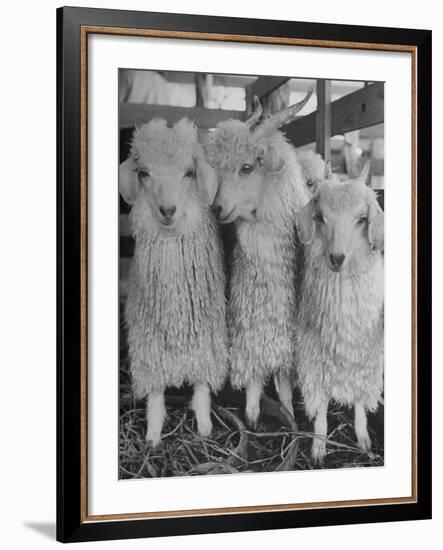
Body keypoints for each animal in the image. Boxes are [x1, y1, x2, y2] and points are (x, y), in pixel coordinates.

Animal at [119, 119, 227, 448]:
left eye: (189, 172)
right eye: (144, 173)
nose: (167, 210)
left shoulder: (207, 339)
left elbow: (202, 385)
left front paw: (204, 427)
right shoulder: (148, 344)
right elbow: (155, 391)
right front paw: (153, 435)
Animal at [206, 90, 312, 426]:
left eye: (247, 167)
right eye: (218, 167)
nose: (217, 208)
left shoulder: (286, 337)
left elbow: (284, 383)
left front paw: (290, 417)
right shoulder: (248, 327)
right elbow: (253, 376)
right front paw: (252, 415)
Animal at [298, 164, 386, 466]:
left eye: (362, 218)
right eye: (320, 217)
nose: (337, 258)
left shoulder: (365, 358)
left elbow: (359, 399)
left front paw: (363, 440)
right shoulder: (314, 359)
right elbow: (321, 404)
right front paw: (319, 446)